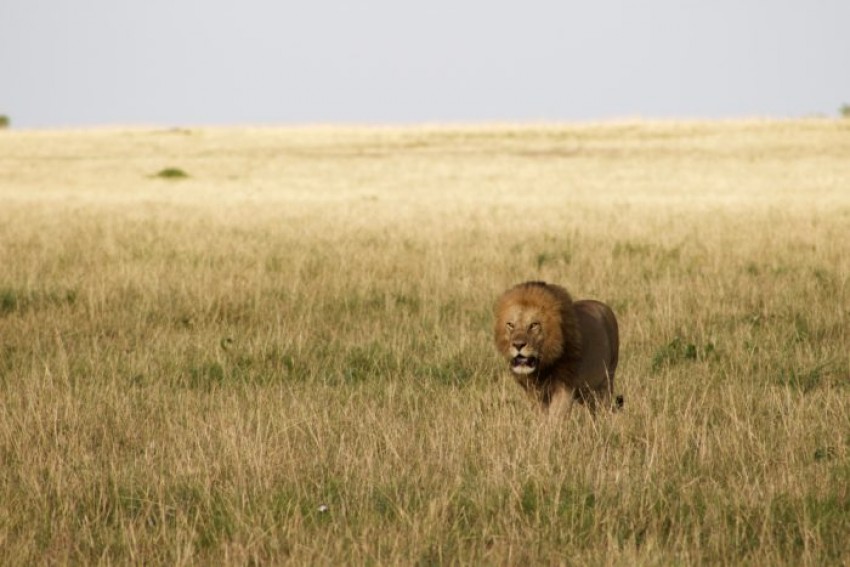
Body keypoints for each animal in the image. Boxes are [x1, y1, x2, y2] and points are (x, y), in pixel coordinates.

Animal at [494, 282, 620, 414]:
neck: (543, 366)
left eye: (534, 325)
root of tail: (604, 306)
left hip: (607, 380)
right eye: (510, 325)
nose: (518, 345)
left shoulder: (565, 387)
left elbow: (555, 415)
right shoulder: (534, 393)